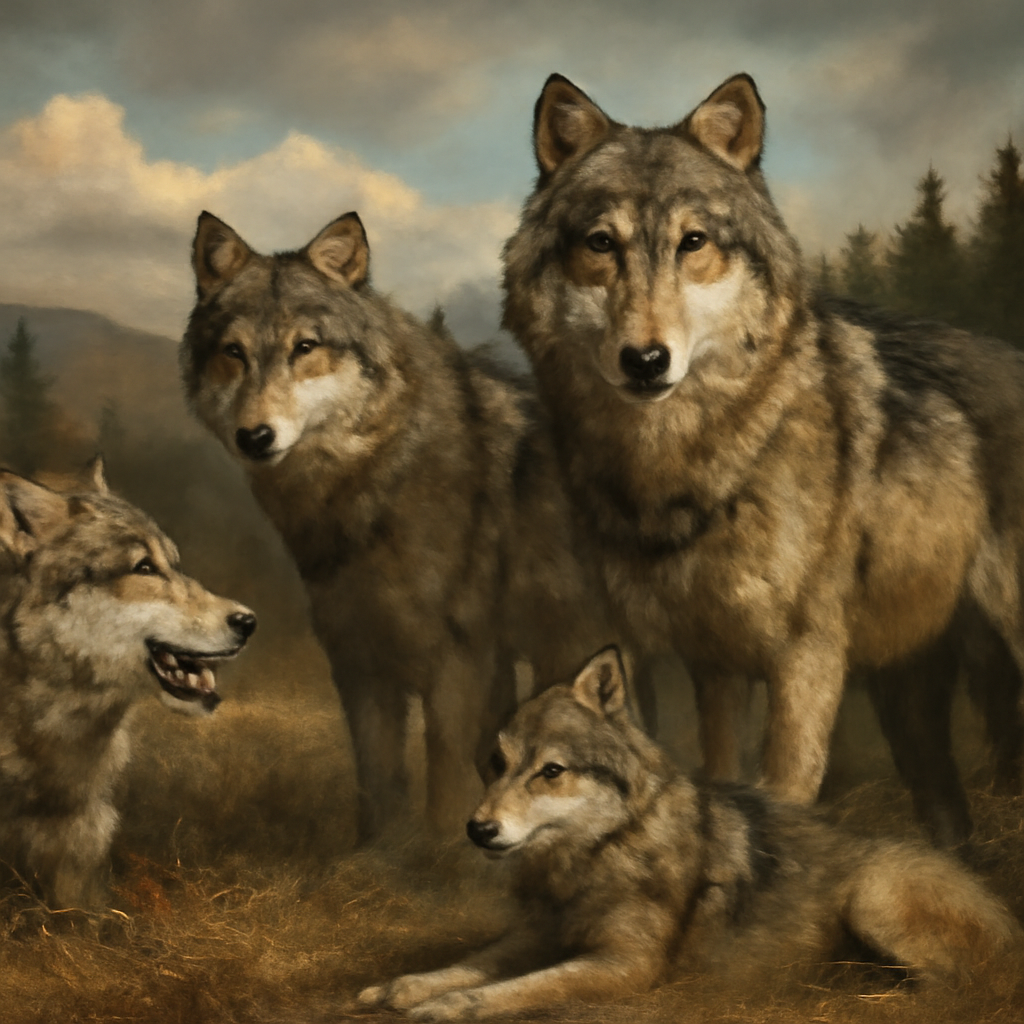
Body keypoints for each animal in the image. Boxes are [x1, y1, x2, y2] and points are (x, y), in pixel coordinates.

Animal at [182, 212, 626, 842]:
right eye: (233, 353)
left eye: (305, 347)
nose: (255, 436)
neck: (375, 485)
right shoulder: (359, 661)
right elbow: (380, 780)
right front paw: (380, 855)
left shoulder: (460, 660)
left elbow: (447, 779)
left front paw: (443, 856)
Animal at [359, 647, 1020, 1020]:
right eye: (498, 764)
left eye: (551, 771)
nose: (477, 829)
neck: (598, 853)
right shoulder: (535, 935)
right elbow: (468, 964)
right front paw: (400, 987)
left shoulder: (623, 966)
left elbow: (512, 990)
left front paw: (443, 1006)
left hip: (871, 898)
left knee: (957, 986)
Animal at [501, 72, 1024, 845]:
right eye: (601, 244)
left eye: (693, 242)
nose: (645, 360)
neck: (698, 463)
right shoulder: (710, 661)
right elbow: (720, 775)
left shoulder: (805, 661)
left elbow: (785, 791)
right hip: (911, 689)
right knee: (944, 801)